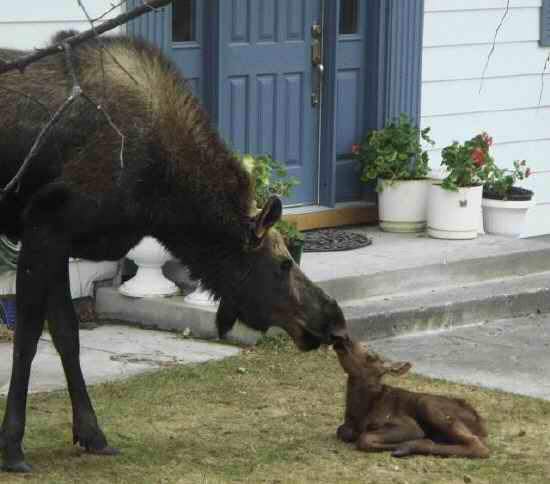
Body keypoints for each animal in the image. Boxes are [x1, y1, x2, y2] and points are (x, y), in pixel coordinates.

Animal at [1, 32, 350, 470]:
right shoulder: (43, 227)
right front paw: (13, 445)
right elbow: (28, 340)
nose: (335, 320)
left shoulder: (61, 240)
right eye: (283, 264)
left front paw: (91, 433)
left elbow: (67, 335)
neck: (162, 200)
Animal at [334, 342, 490, 460]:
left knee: (478, 446)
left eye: (371, 356)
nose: (343, 341)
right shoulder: (347, 426)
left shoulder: (408, 425)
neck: (359, 410)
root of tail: (483, 428)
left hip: (427, 404)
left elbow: (364, 438)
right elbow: (342, 431)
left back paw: (410, 446)